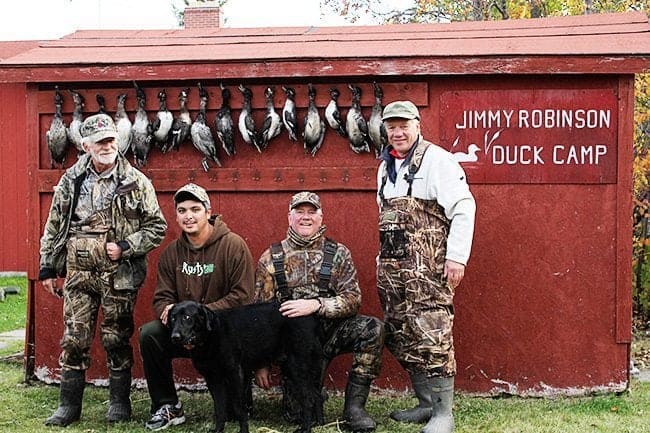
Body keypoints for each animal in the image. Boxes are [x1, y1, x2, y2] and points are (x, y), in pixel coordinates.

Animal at [166, 300, 320, 432]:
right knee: (316, 395)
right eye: (172, 318)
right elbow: (219, 409)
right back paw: (316, 423)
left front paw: (243, 430)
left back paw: (306, 428)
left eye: (187, 317)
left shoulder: (235, 374)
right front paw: (218, 430)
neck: (210, 337)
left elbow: (239, 408)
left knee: (308, 399)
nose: (174, 337)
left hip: (295, 366)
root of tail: (309, 316)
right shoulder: (213, 380)